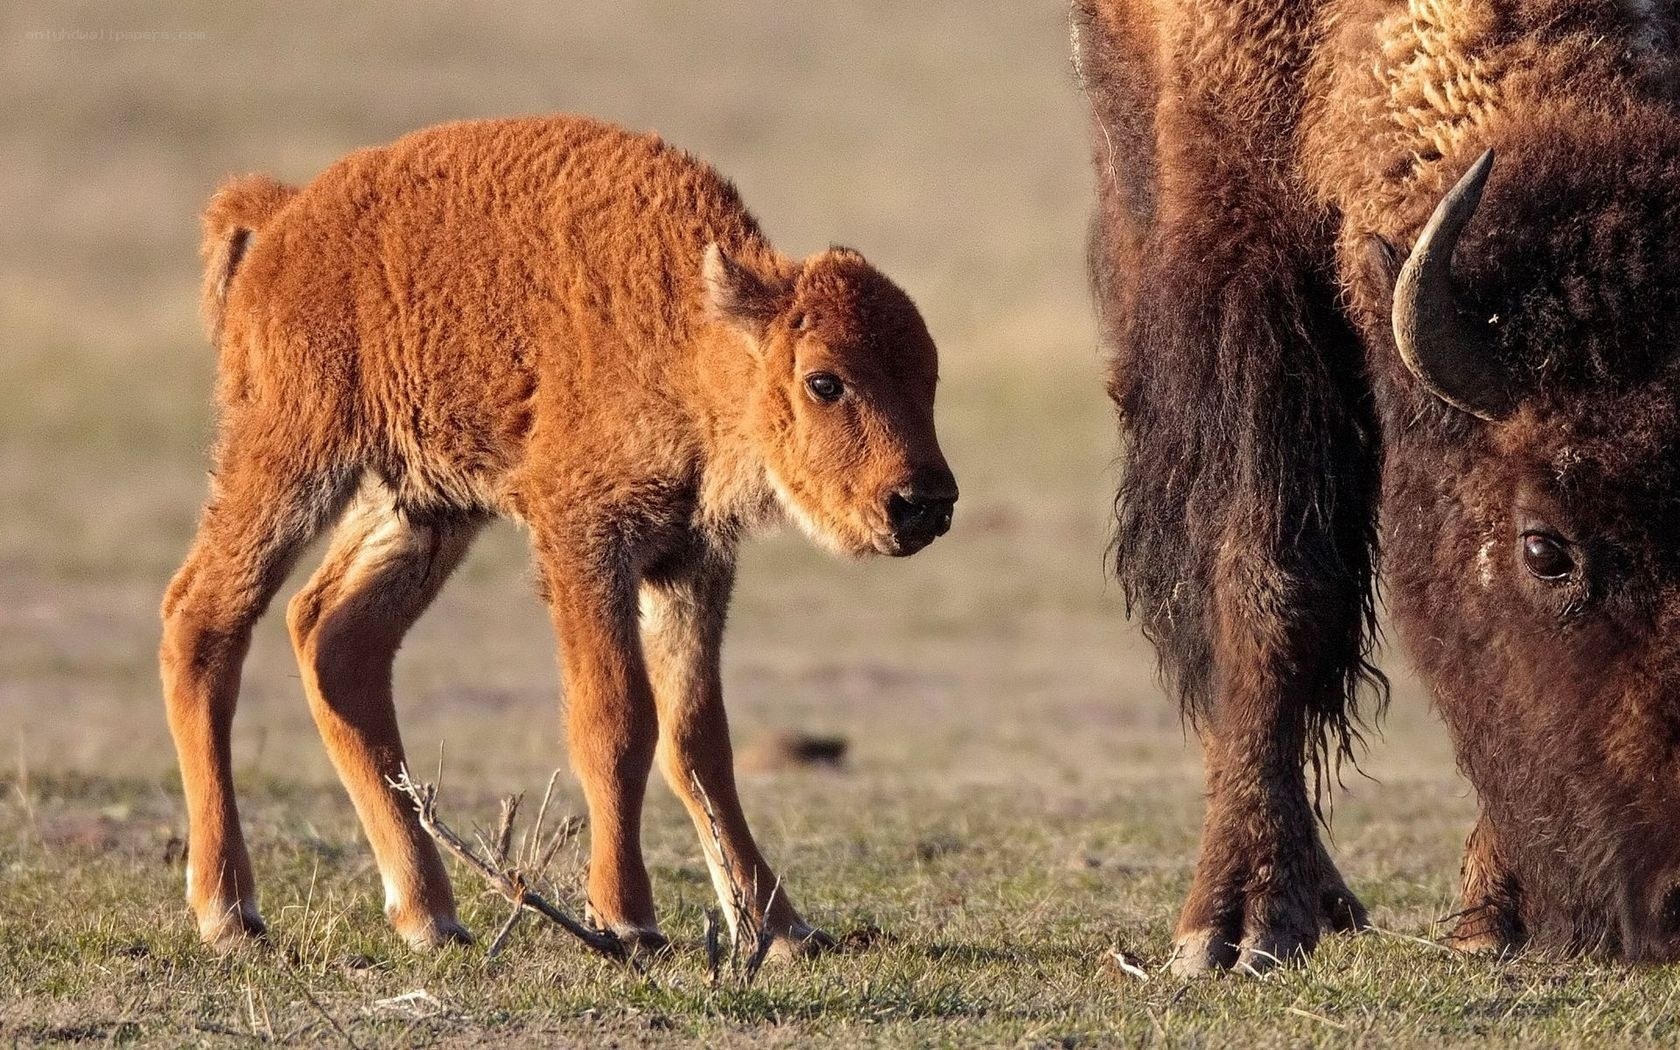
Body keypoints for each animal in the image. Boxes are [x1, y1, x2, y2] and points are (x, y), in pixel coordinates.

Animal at [161, 114, 956, 956]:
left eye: (929, 377)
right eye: (824, 381)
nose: (924, 503)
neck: (687, 333)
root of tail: (286, 213)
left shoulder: (690, 559)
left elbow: (697, 738)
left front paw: (779, 928)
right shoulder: (586, 540)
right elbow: (616, 720)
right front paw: (629, 918)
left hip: (422, 505)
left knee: (337, 639)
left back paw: (430, 916)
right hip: (291, 460)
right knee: (204, 621)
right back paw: (229, 911)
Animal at [1074, 0, 1680, 968]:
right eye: (1545, 549)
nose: (1676, 903)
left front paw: (1492, 916)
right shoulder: (1244, 259)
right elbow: (1269, 583)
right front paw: (1236, 925)